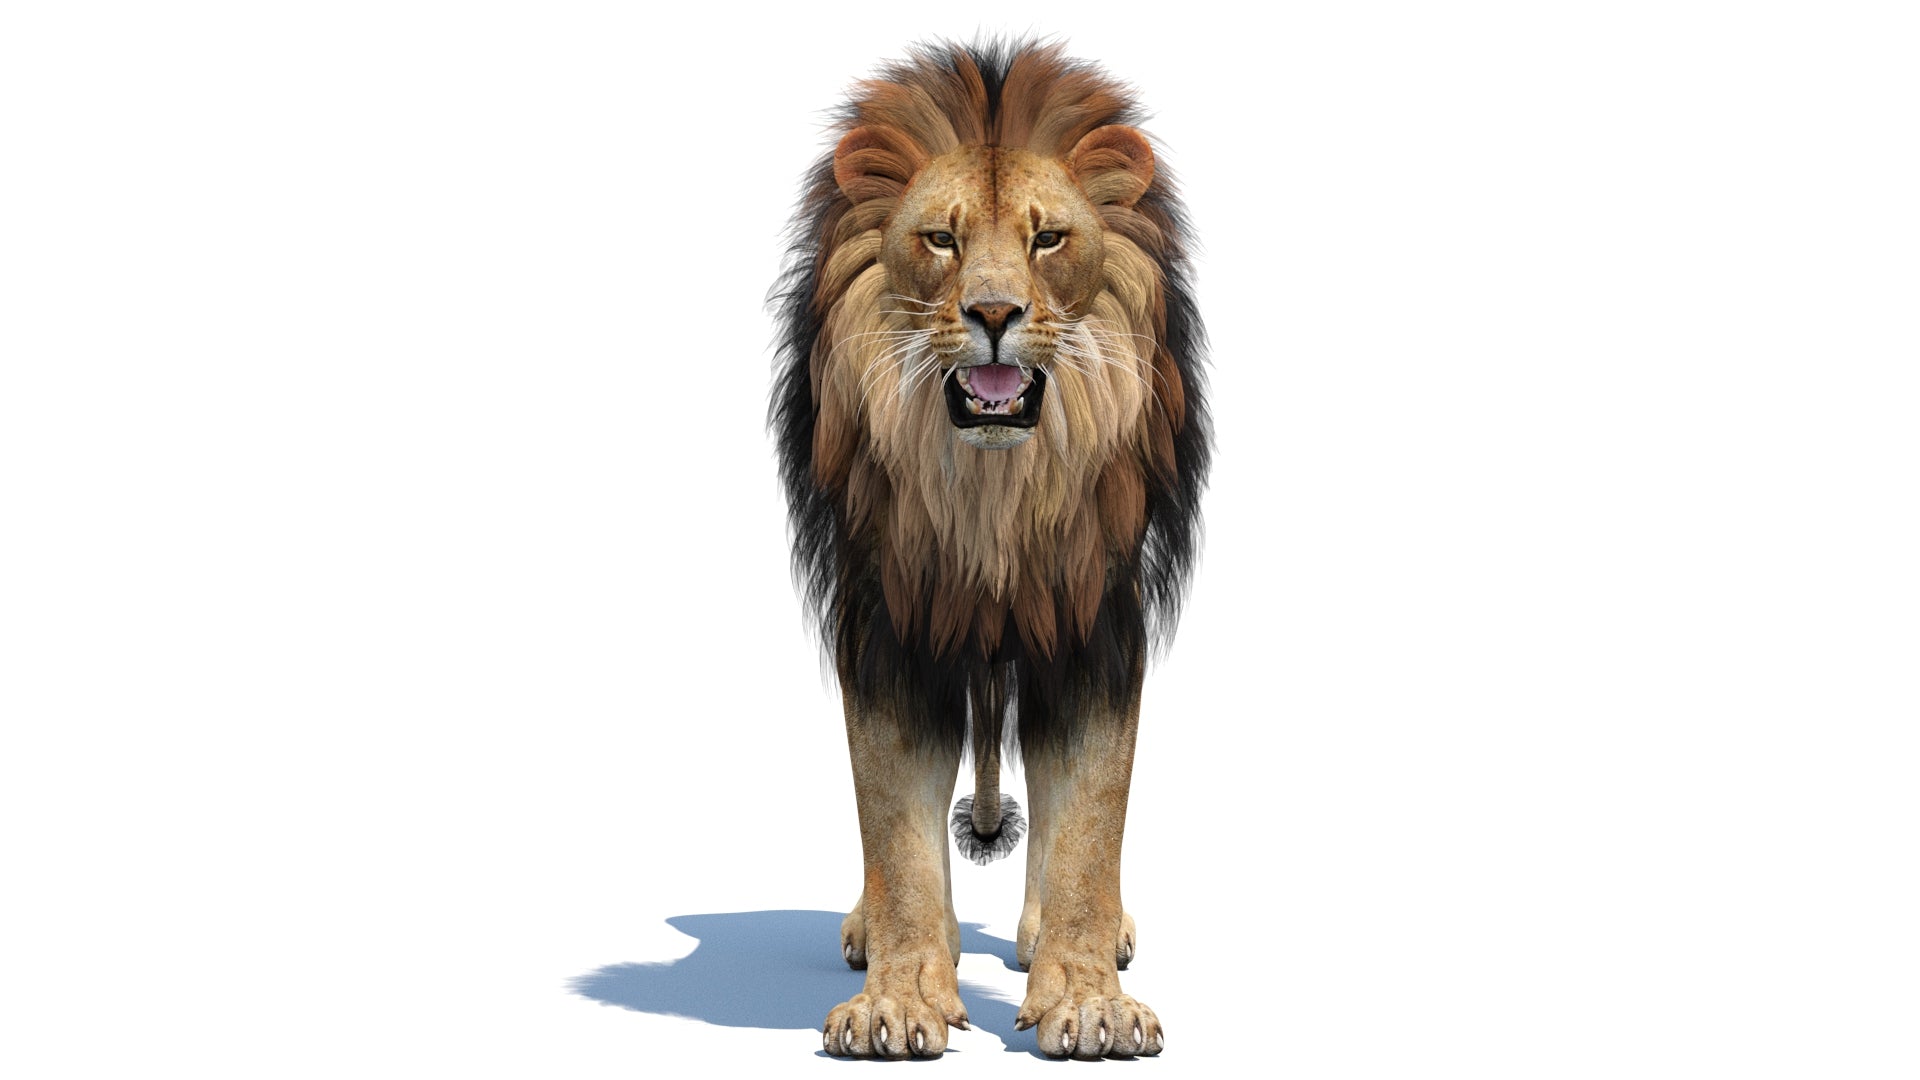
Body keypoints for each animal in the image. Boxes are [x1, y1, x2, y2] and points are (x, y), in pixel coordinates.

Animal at [769, 40, 1210, 1060]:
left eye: (1049, 241)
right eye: (942, 239)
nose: (997, 314)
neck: (991, 499)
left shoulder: (1092, 623)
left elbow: (1089, 822)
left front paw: (1088, 1002)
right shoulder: (888, 624)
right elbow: (894, 824)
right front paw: (896, 1000)